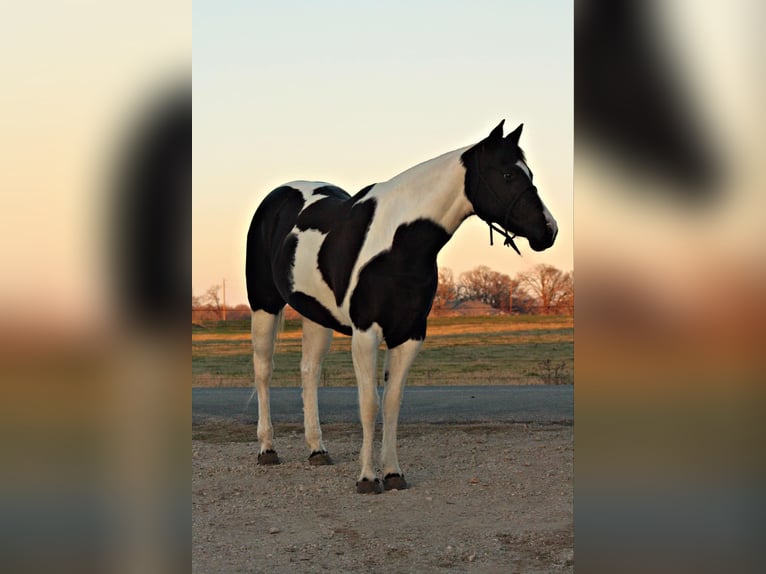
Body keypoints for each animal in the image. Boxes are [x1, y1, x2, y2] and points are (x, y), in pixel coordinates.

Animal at [245, 120, 558, 493]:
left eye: (529, 173)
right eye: (508, 174)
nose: (549, 230)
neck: (398, 243)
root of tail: (277, 196)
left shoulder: (409, 334)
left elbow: (393, 402)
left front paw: (393, 473)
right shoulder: (366, 333)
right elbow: (369, 404)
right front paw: (367, 478)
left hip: (316, 315)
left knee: (309, 371)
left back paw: (317, 450)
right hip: (264, 305)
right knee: (264, 370)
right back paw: (267, 449)